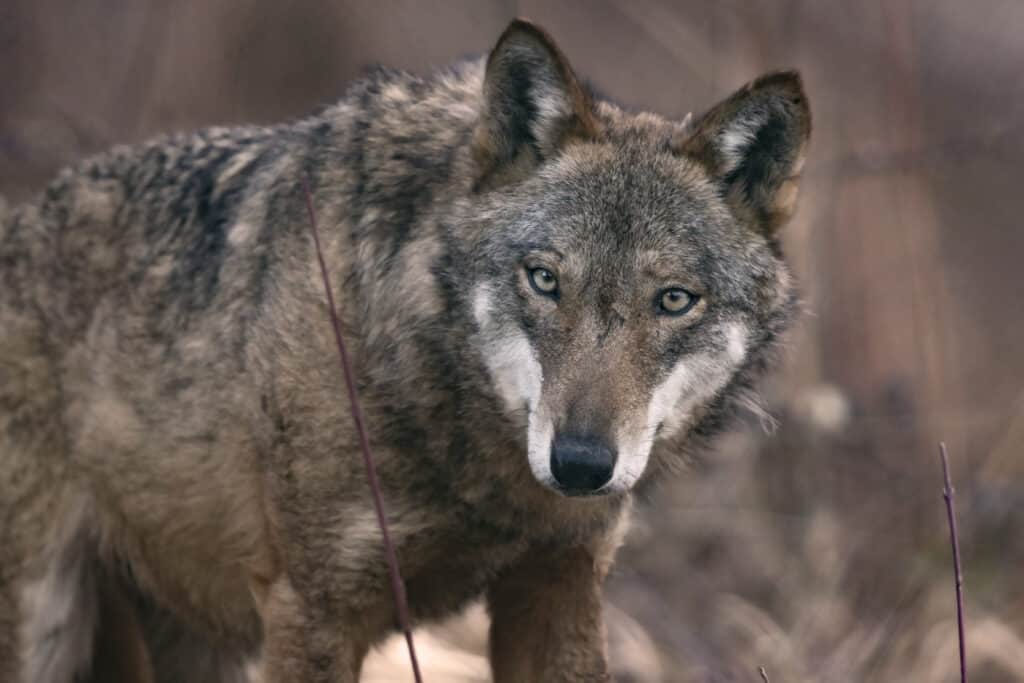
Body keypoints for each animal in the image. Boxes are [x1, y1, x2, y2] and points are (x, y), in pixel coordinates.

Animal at [0, 18, 811, 679]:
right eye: (544, 279)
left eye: (673, 300)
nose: (580, 465)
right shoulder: (313, 610)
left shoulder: (560, 588)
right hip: (48, 626)